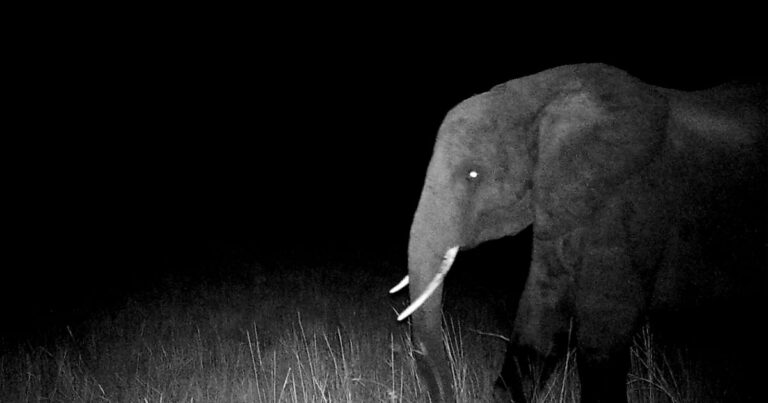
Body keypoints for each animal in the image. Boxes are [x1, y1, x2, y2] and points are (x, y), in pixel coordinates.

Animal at [391, 64, 766, 402]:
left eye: (473, 175)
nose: (448, 392)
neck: (542, 96)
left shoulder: (631, 201)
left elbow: (605, 330)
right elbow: (540, 312)